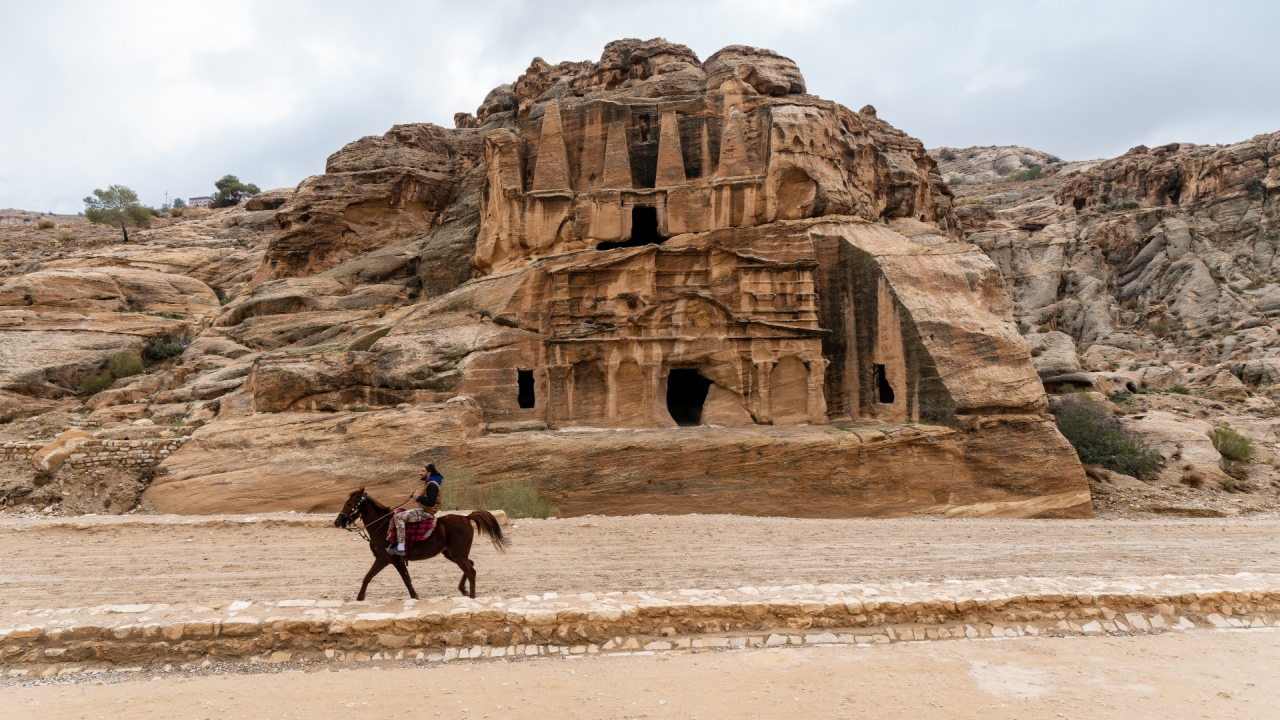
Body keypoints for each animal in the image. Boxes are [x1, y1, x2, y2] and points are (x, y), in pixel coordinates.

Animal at [332, 484, 506, 597]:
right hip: (451, 554)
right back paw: (463, 589)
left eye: (349, 503)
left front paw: (359, 598)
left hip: (458, 555)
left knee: (470, 572)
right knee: (472, 566)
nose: (337, 521)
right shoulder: (397, 561)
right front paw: (415, 597)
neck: (382, 526)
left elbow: (367, 577)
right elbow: (407, 580)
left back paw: (472, 597)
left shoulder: (383, 558)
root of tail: (466, 517)